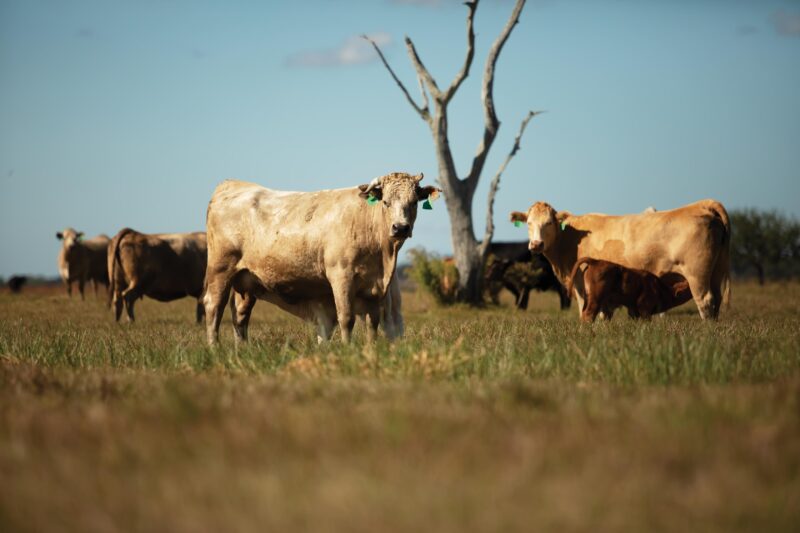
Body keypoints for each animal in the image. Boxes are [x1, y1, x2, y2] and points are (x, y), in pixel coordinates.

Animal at [204, 172, 437, 345]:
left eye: (414, 202)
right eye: (386, 202)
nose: (400, 228)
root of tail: (230, 185)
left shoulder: (373, 288)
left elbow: (372, 323)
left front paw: (371, 350)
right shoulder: (341, 276)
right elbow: (346, 318)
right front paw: (348, 349)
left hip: (247, 281)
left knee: (240, 315)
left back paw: (242, 350)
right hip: (220, 269)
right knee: (214, 307)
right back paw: (214, 349)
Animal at [509, 199, 731, 319]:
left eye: (549, 223)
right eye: (528, 223)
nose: (536, 244)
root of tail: (700, 205)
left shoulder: (581, 284)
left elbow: (586, 309)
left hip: (697, 274)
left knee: (705, 301)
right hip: (716, 272)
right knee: (717, 301)